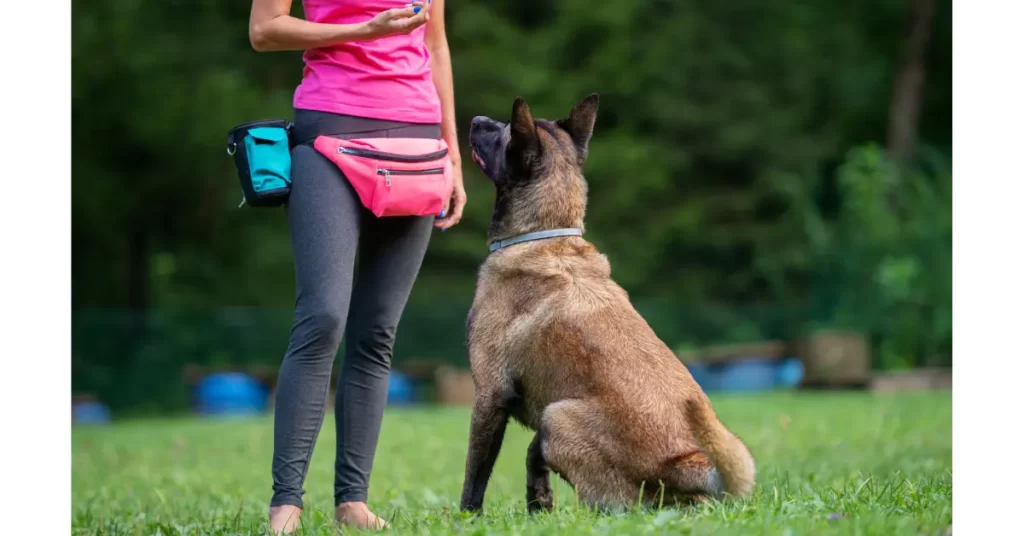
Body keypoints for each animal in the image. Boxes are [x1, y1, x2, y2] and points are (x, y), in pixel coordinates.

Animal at [460, 94, 757, 514]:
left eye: (503, 133)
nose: (476, 118)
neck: (545, 235)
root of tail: (685, 463)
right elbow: (533, 462)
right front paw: (539, 506)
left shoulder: (489, 396)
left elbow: (475, 476)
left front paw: (466, 519)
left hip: (557, 415)